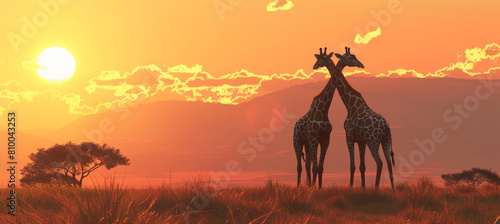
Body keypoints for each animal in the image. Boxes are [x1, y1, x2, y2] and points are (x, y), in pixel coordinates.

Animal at [292, 47, 364, 189]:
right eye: (318, 58)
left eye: (324, 58)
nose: (314, 66)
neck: (324, 110)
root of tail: (295, 125)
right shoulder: (314, 138)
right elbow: (315, 167)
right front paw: (314, 188)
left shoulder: (325, 139)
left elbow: (320, 167)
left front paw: (318, 187)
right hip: (297, 142)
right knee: (298, 166)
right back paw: (298, 186)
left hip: (306, 144)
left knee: (307, 165)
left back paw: (308, 185)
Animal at [320, 46, 394, 192]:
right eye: (350, 57)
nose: (361, 64)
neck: (349, 104)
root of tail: (385, 127)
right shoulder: (361, 141)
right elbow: (362, 166)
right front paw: (363, 187)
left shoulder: (349, 137)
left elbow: (352, 166)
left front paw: (350, 187)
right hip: (386, 140)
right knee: (389, 163)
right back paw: (393, 190)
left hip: (373, 141)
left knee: (380, 162)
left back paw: (376, 188)